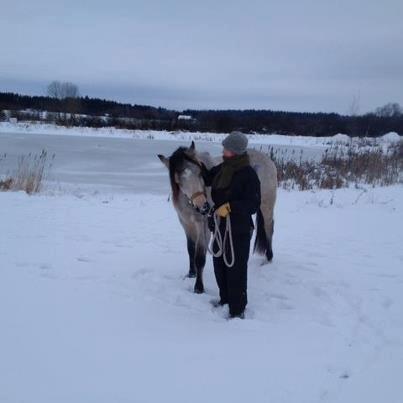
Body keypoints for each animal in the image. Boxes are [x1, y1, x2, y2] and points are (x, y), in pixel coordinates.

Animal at [158, 141, 278, 294]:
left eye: (199, 174)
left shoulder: (203, 227)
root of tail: (268, 160)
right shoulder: (186, 224)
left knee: (269, 228)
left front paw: (198, 287)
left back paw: (268, 258)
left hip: (266, 206)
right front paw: (191, 274)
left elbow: (199, 256)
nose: (203, 206)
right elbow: (190, 249)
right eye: (179, 181)